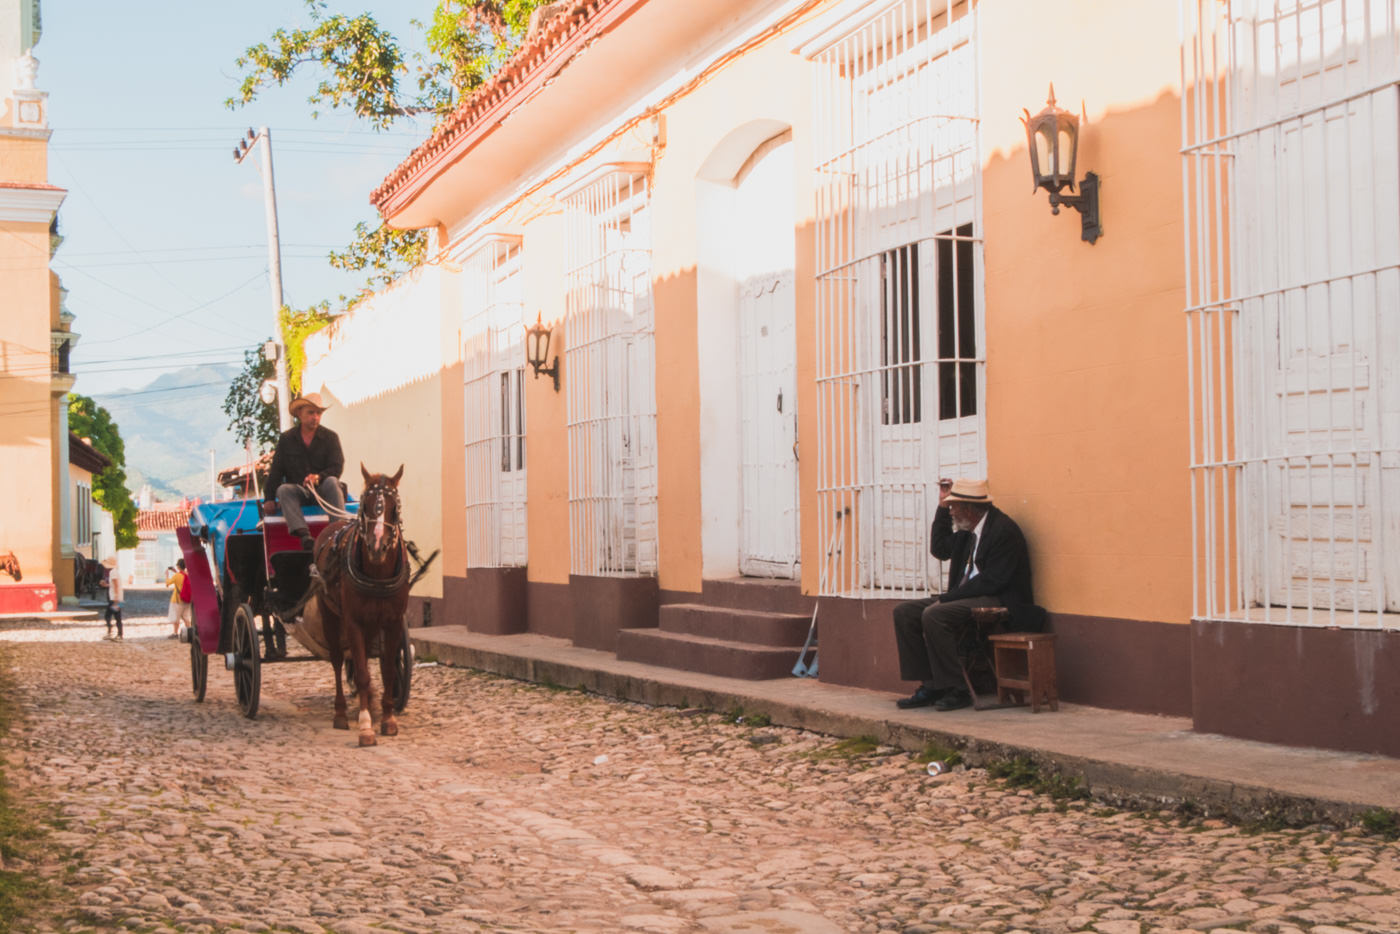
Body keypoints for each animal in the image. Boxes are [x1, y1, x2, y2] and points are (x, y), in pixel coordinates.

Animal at [313, 464, 408, 750]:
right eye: (365, 506)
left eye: (394, 507)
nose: (377, 547)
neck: (378, 573)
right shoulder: (353, 621)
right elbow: (364, 673)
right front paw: (366, 726)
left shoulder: (393, 622)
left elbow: (387, 670)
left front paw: (388, 719)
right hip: (330, 616)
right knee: (337, 660)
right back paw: (341, 713)